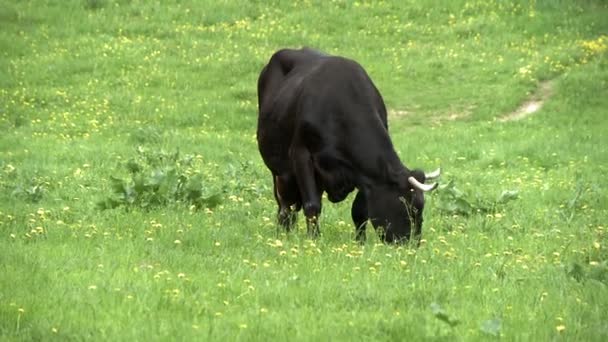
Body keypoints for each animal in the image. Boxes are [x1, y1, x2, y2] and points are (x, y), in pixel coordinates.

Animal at [258, 48, 442, 243]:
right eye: (408, 204)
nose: (413, 244)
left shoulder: (365, 174)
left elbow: (360, 210)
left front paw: (361, 242)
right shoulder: (301, 154)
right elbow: (312, 205)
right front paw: (314, 240)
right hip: (280, 172)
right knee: (286, 206)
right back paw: (284, 235)